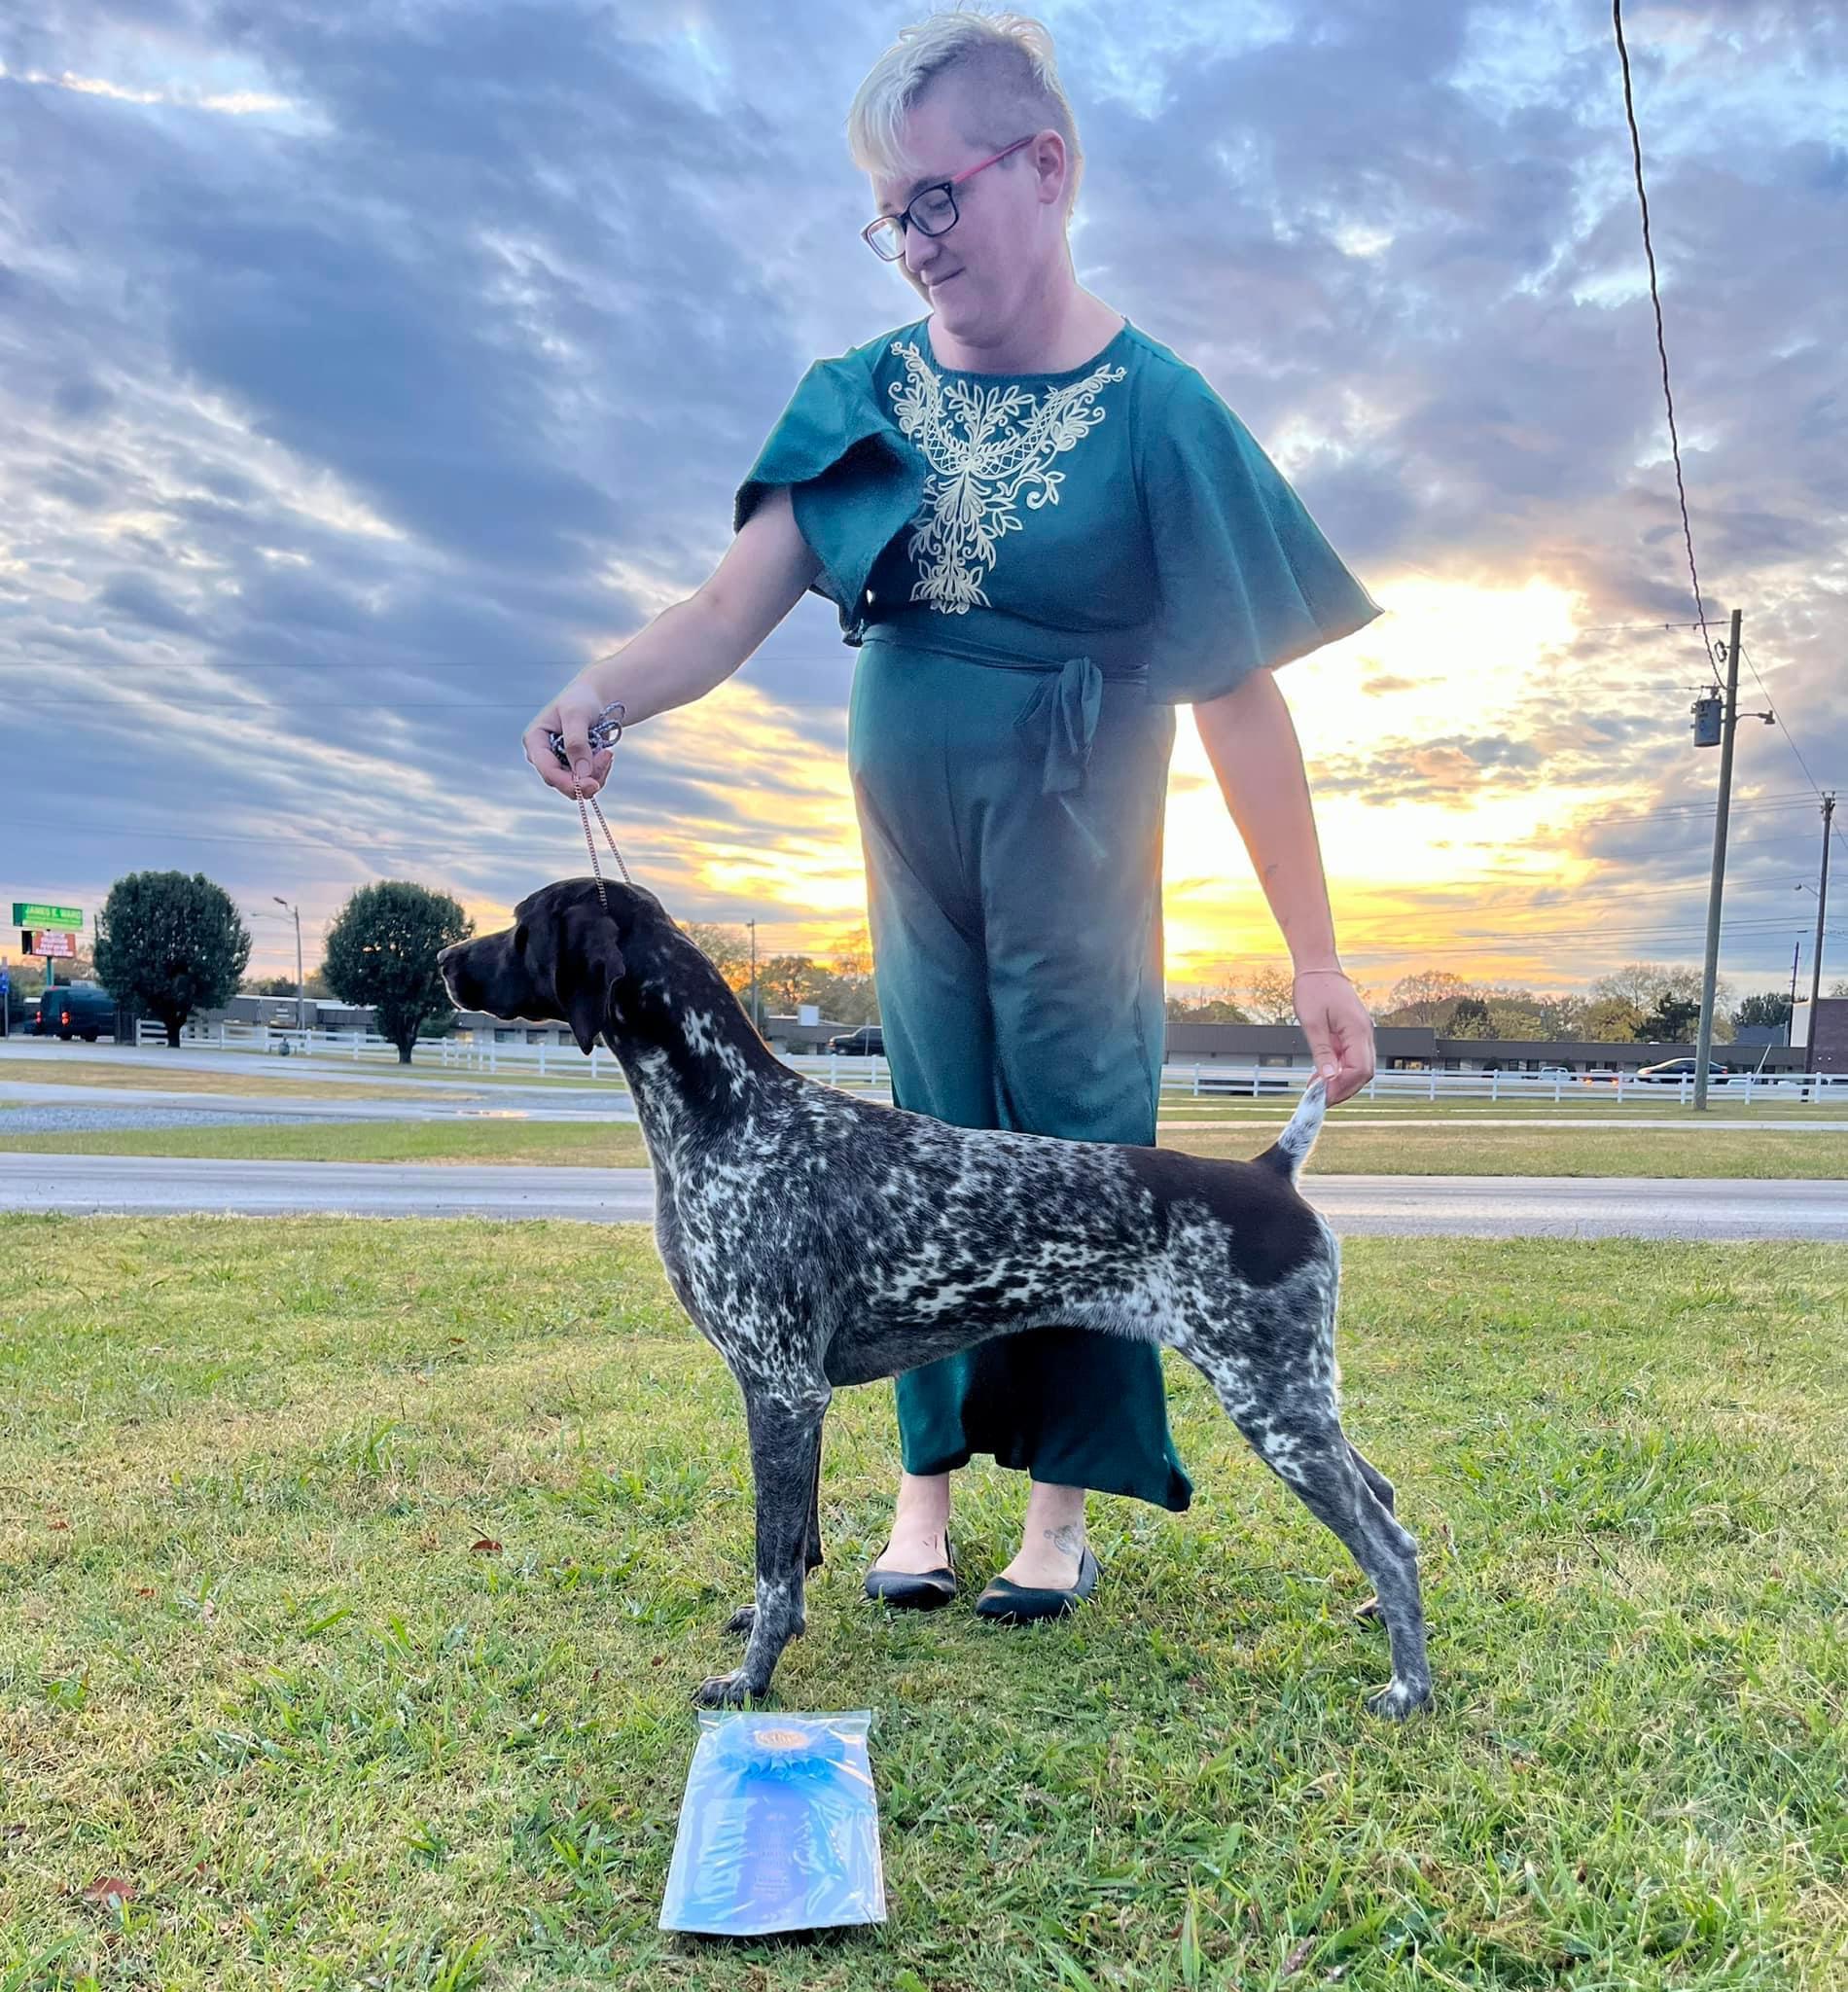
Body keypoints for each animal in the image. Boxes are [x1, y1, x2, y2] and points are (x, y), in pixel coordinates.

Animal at [438, 879, 1430, 1719]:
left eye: (521, 924)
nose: (446, 960)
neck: (729, 1114)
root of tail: (1272, 1169)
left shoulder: (780, 1389)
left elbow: (772, 1558)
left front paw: (752, 1680)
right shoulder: (793, 1396)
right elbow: (793, 1550)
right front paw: (773, 1632)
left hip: (1272, 1402)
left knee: (1388, 1538)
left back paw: (1407, 1690)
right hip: (1295, 1398)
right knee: (1385, 1504)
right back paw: (1376, 1620)